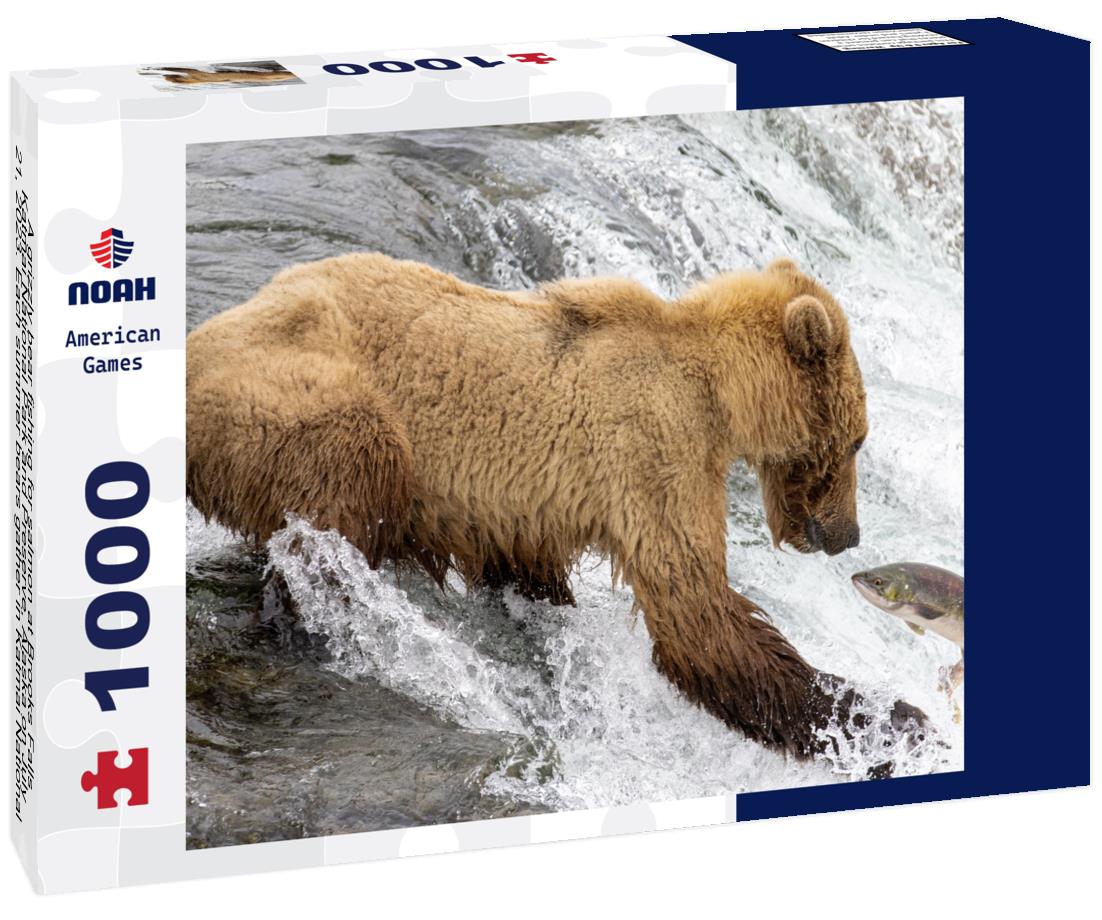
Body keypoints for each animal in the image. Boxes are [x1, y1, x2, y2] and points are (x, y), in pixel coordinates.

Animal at [187, 254, 874, 758]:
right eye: (857, 440)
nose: (850, 534)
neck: (720, 392)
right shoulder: (653, 449)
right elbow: (695, 610)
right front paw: (870, 718)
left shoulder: (526, 511)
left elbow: (531, 570)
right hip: (288, 396)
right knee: (356, 470)